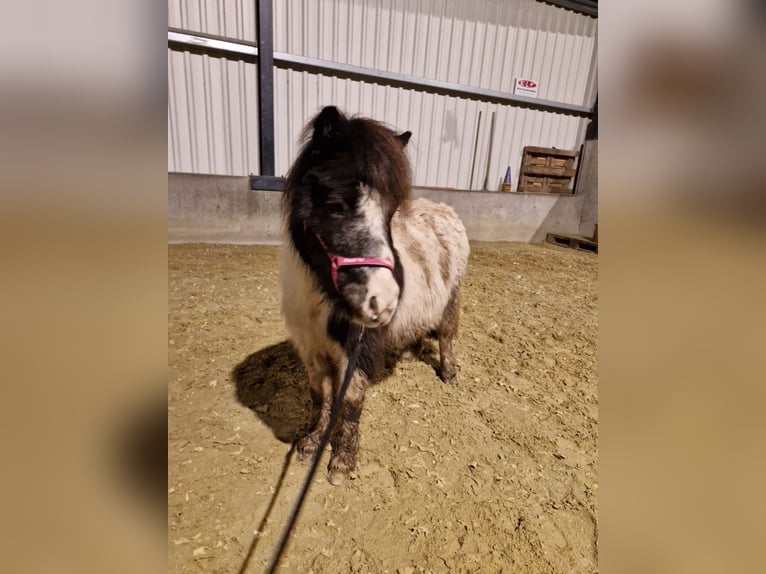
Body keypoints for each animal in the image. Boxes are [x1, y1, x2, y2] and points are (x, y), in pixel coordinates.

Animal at [282, 107, 472, 486]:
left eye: (390, 212)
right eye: (335, 205)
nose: (382, 302)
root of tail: (446, 210)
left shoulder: (358, 347)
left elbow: (351, 399)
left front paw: (342, 462)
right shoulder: (310, 347)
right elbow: (319, 393)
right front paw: (311, 442)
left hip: (451, 299)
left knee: (446, 335)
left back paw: (448, 373)